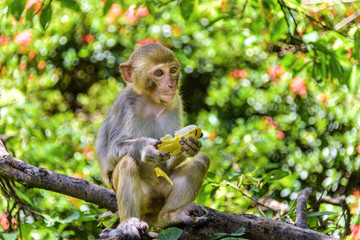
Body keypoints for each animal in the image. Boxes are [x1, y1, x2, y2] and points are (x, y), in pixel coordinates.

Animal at [95, 42, 211, 238]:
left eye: (172, 70)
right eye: (158, 73)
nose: (171, 85)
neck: (151, 101)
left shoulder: (175, 102)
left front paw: (191, 146)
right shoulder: (126, 104)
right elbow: (114, 151)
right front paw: (145, 148)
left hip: (163, 191)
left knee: (201, 161)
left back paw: (170, 216)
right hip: (145, 199)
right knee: (126, 163)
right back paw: (129, 223)